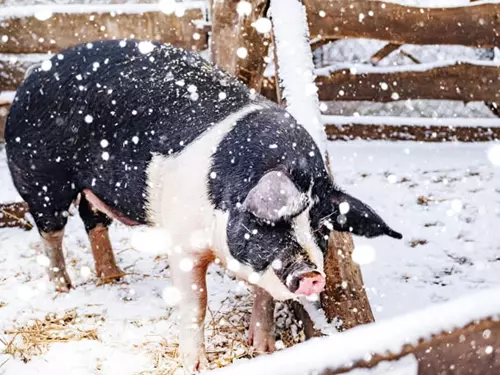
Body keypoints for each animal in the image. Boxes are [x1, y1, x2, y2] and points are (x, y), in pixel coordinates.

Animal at [4, 39, 402, 372]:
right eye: (271, 224)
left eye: (321, 227)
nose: (311, 274)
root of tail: (35, 72)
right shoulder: (183, 244)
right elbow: (196, 302)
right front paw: (195, 366)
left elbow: (263, 295)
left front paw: (264, 350)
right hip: (40, 178)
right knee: (50, 232)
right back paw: (64, 289)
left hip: (92, 189)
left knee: (92, 219)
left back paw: (114, 276)